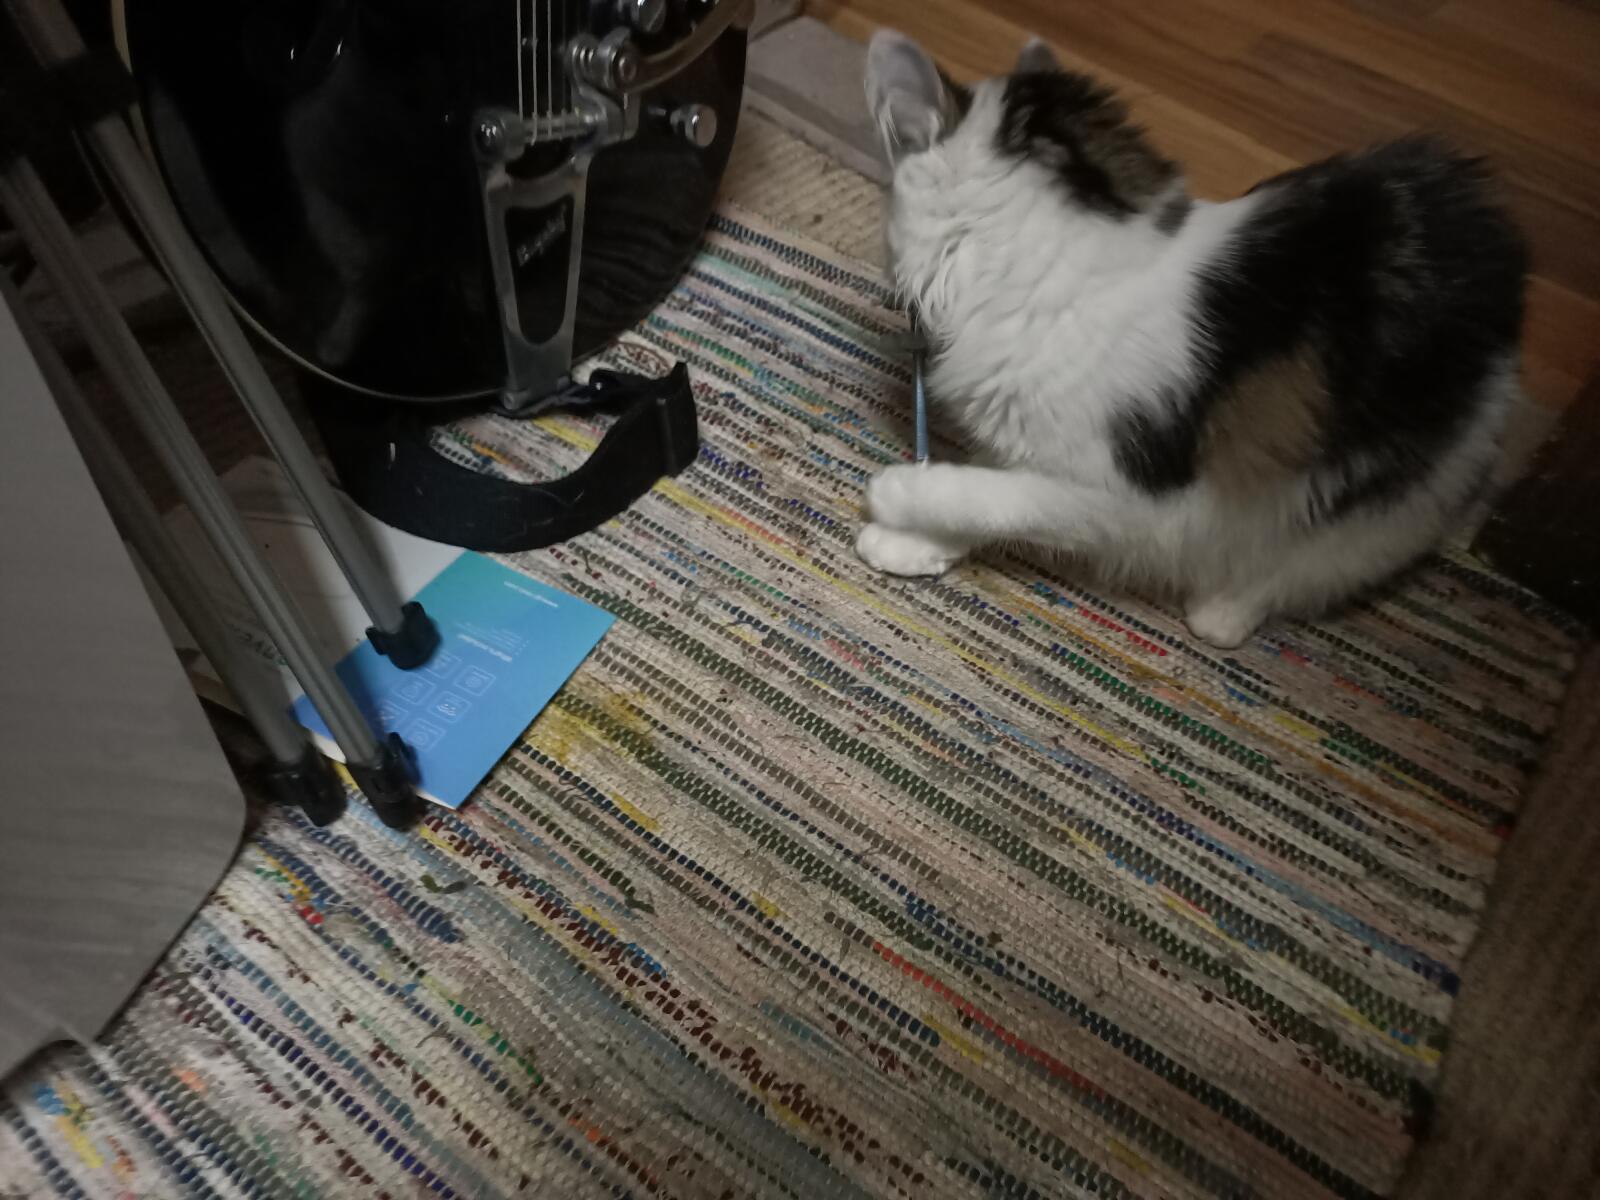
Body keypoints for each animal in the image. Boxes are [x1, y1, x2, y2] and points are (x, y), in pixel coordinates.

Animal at [857, 31, 1527, 648]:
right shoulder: (1029, 437)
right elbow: (989, 479)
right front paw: (915, 543)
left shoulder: (1128, 495)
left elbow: (995, 496)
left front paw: (897, 493)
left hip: (1389, 489)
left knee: (1306, 559)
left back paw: (1221, 614)